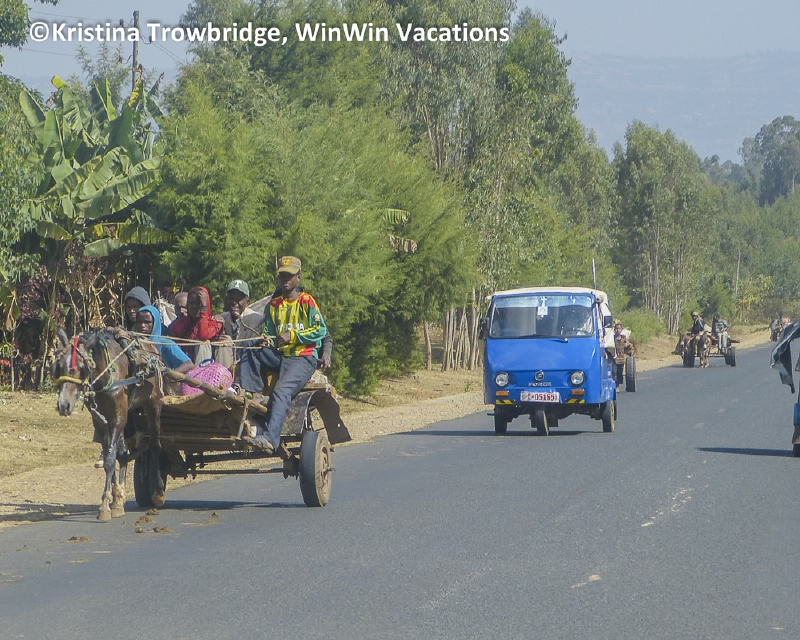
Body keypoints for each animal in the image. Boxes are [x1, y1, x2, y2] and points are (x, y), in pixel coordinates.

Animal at [52, 327, 166, 521]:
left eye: (81, 368)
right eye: (58, 365)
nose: (63, 405)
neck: (105, 375)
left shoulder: (118, 418)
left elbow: (111, 459)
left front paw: (105, 506)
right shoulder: (100, 421)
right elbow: (109, 456)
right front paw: (114, 501)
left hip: (153, 404)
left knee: (156, 445)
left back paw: (157, 492)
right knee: (124, 452)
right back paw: (119, 498)